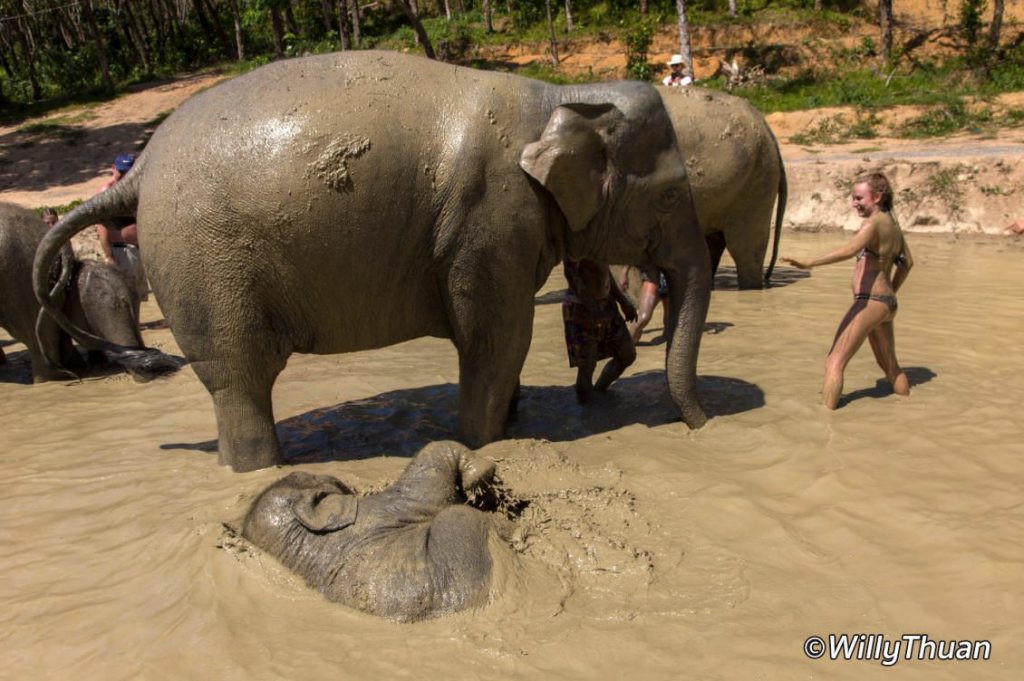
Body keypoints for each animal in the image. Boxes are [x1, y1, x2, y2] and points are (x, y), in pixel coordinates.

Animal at [34, 50, 712, 471]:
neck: (558, 96)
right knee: (239, 381)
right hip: (204, 262)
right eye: (671, 194)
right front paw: (484, 442)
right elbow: (496, 340)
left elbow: (501, 346)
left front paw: (511, 424)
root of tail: (140, 167)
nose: (702, 428)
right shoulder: (489, 219)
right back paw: (259, 470)